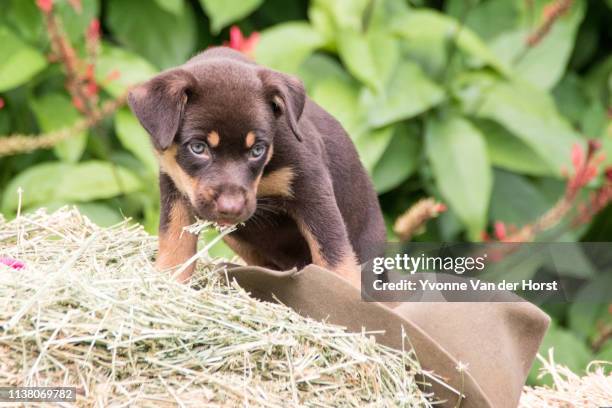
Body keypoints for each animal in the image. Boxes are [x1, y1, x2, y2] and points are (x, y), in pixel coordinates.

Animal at [128, 47, 384, 286]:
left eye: (257, 150)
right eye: (198, 148)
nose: (231, 208)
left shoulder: (311, 188)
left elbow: (334, 256)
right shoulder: (174, 186)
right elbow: (174, 240)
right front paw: (166, 278)